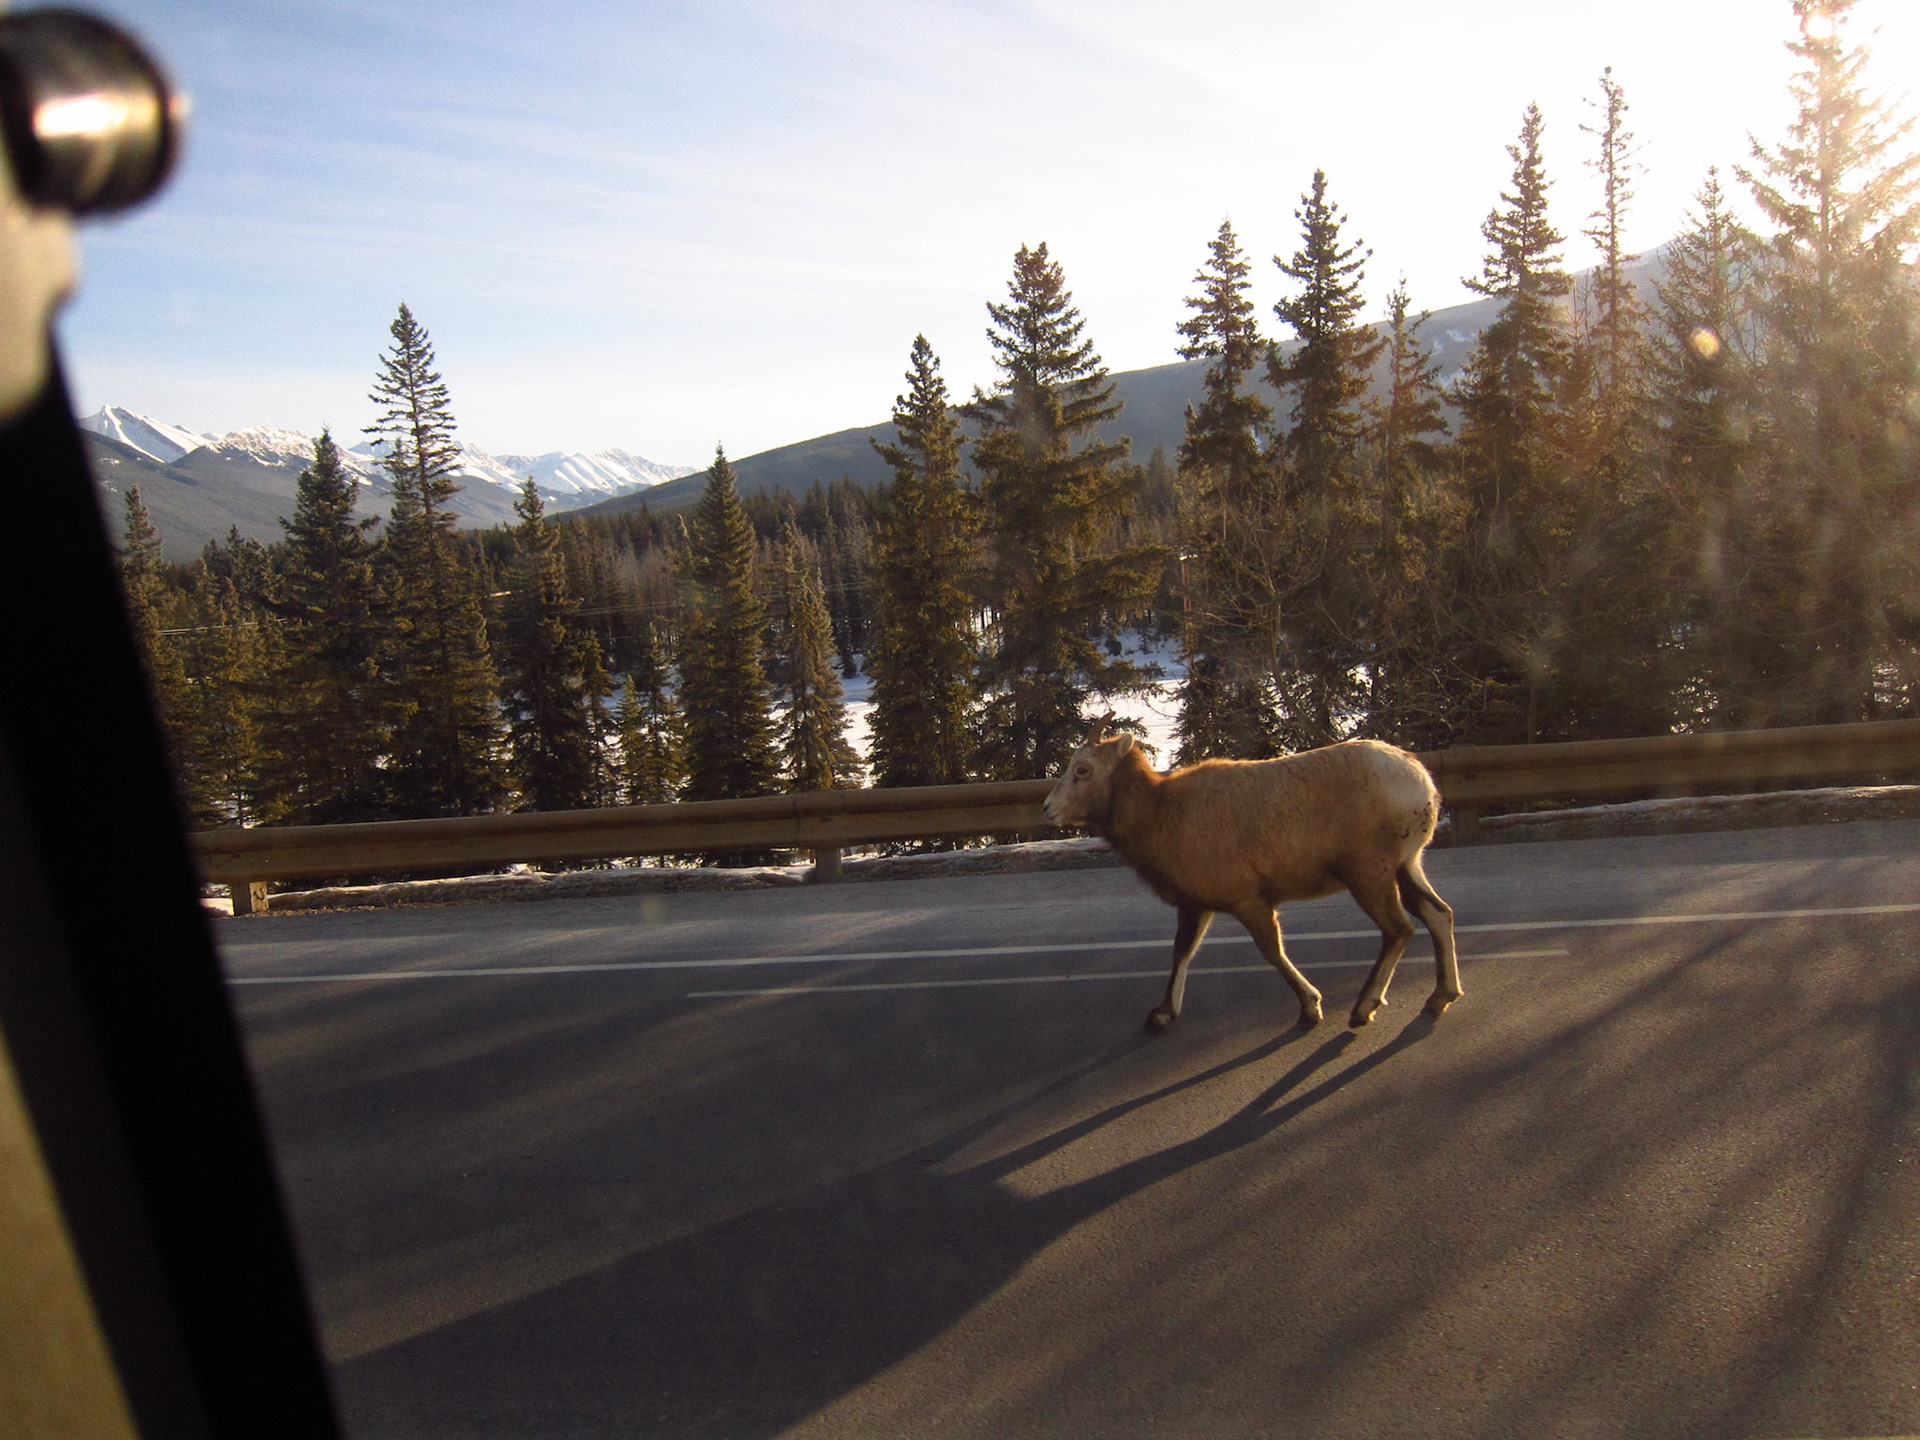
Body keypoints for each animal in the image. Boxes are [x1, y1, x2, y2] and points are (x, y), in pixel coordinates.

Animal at [1042, 717, 1460, 1031]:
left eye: (1082, 770)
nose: (1048, 808)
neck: (1159, 817)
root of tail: (1423, 785)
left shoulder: (1247, 899)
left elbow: (1271, 950)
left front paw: (1311, 1007)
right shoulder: (1195, 905)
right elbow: (1181, 952)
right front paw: (1162, 1014)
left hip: (1369, 873)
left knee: (1399, 929)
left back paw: (1363, 1008)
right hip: (1407, 866)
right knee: (1440, 914)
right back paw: (1440, 997)